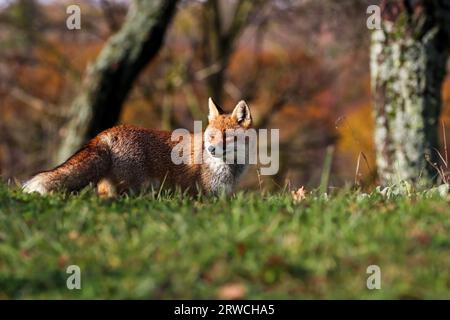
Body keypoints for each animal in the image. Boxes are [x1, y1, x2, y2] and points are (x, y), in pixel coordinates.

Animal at [22, 99, 253, 196]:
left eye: (227, 137)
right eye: (211, 136)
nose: (211, 150)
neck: (230, 168)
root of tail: (108, 132)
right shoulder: (204, 195)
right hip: (132, 187)